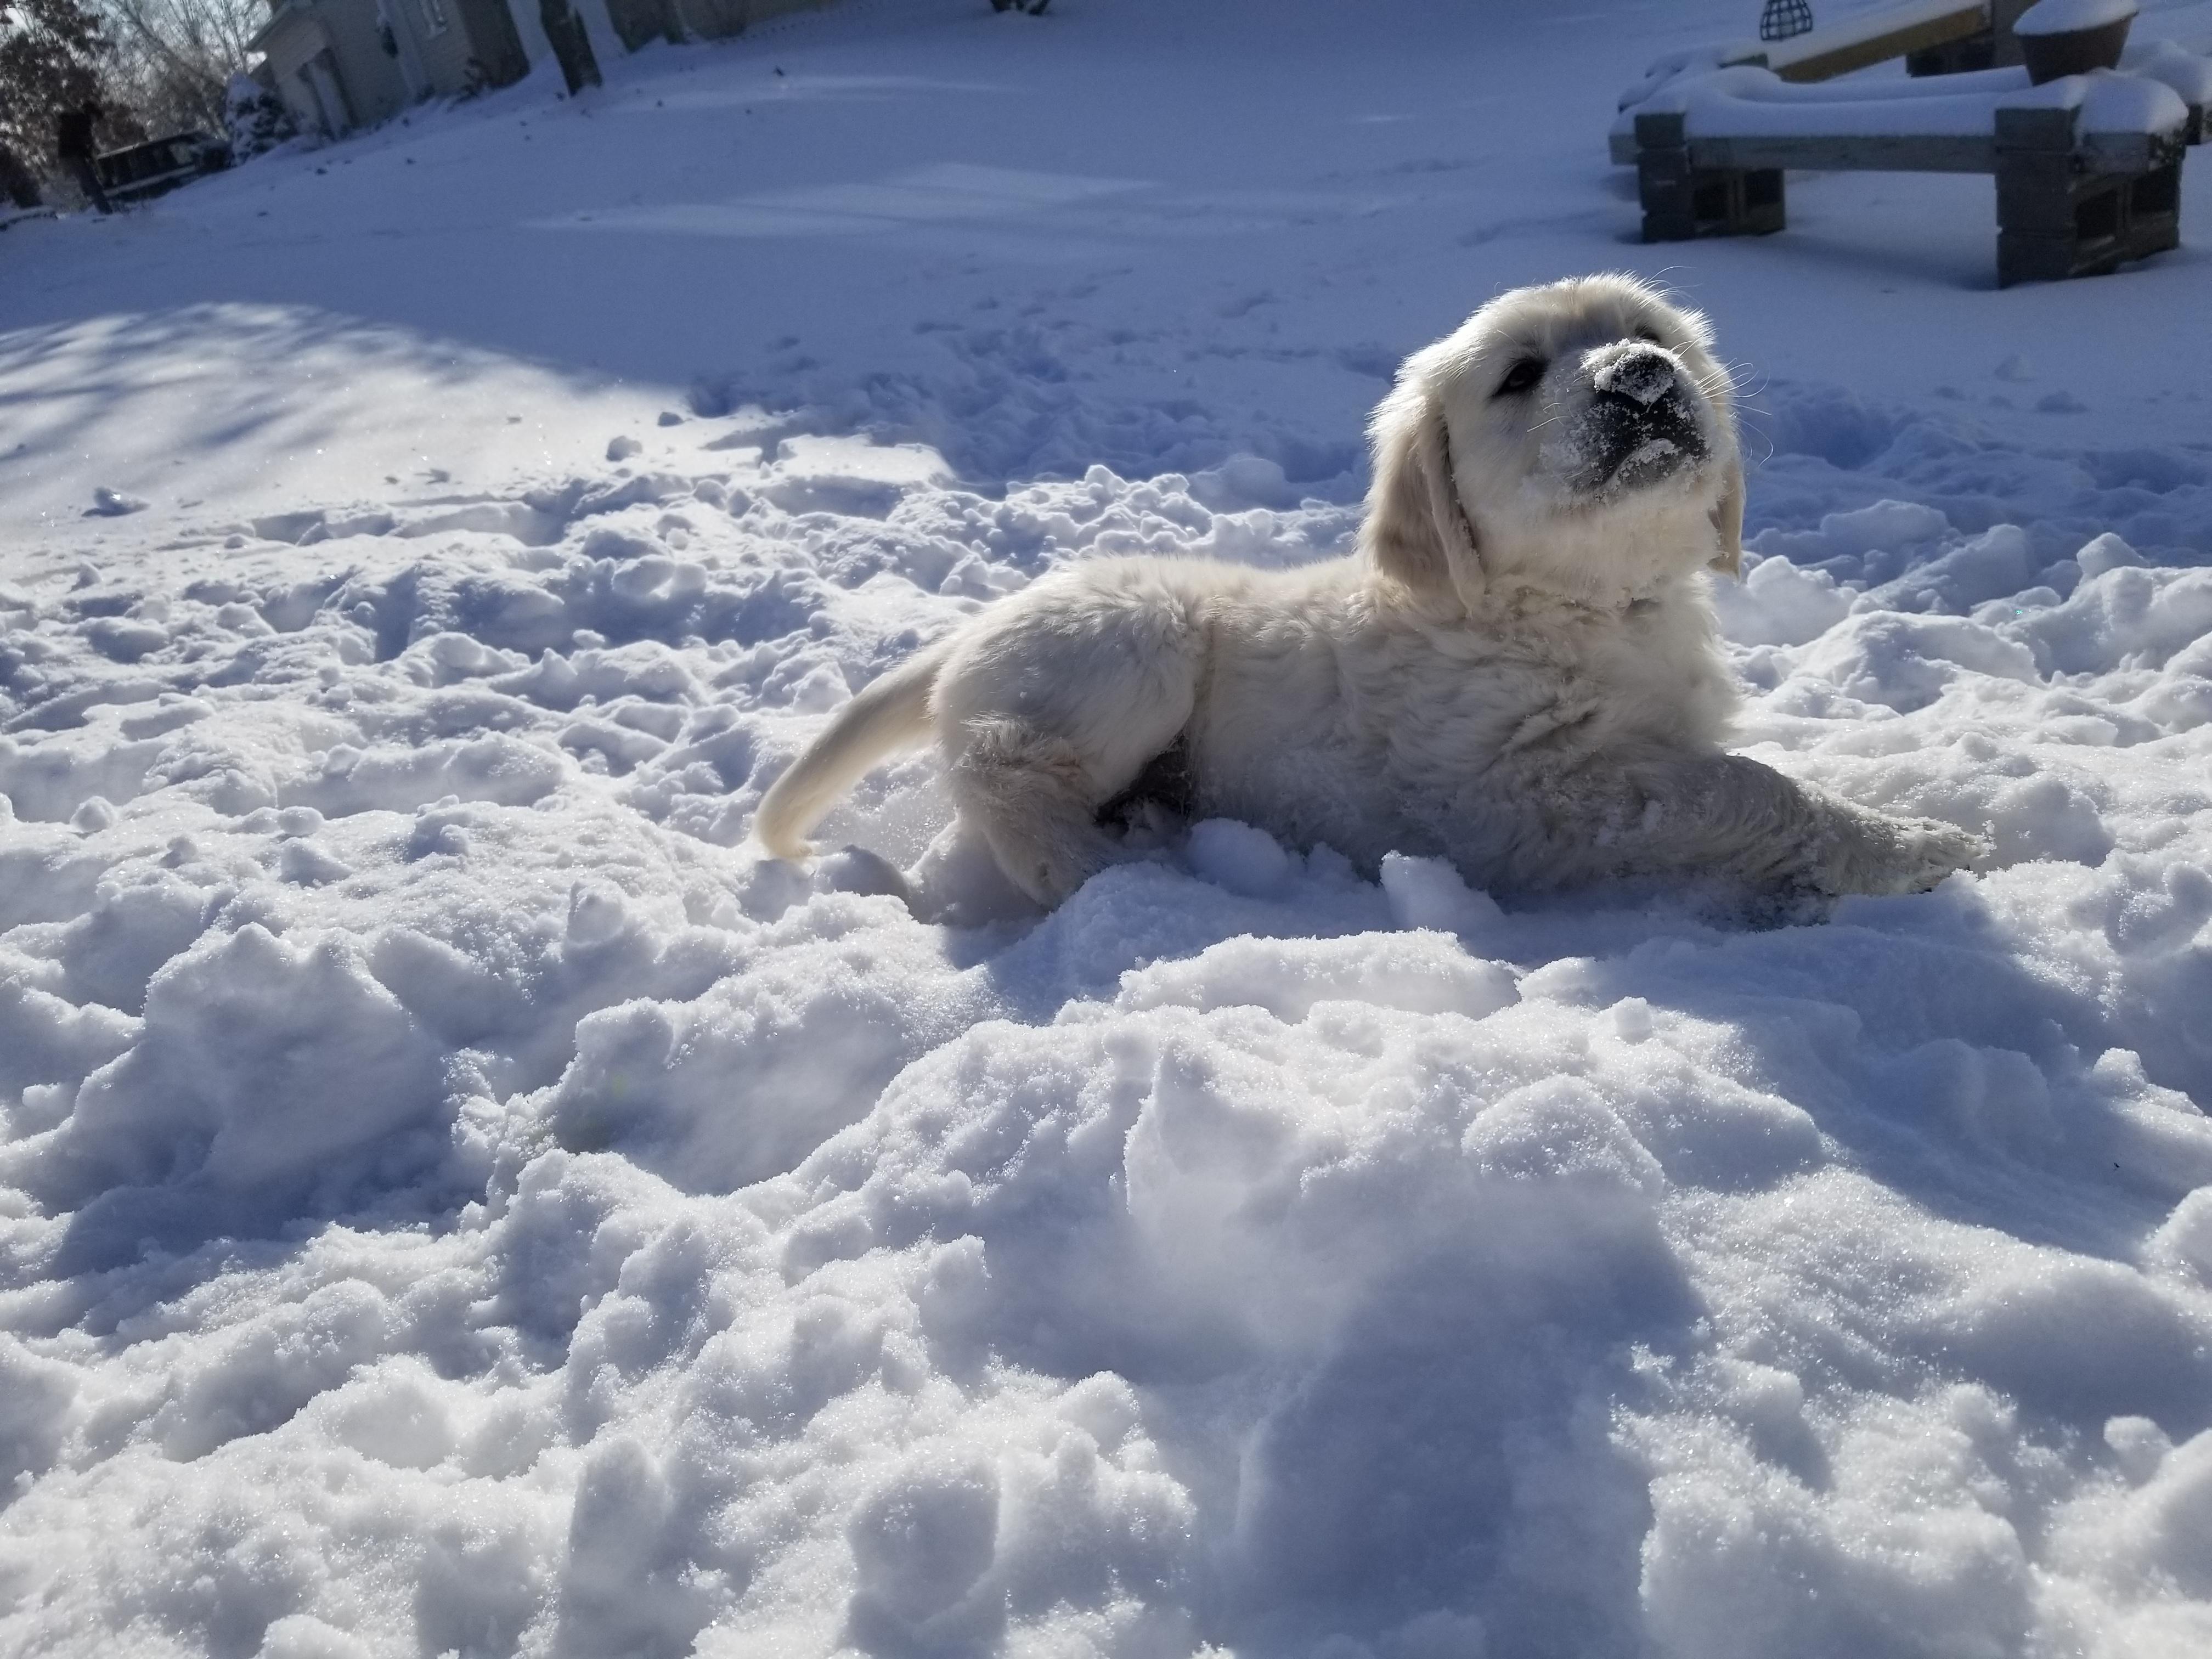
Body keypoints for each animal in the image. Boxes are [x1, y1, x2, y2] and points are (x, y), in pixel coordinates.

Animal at [755, 274, 1986, 910]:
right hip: (1134, 642)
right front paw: (1923, 846)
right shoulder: (1517, 794)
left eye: (1649, 334)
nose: (1642, 377)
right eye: (1520, 376)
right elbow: (1749, 788)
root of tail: (980, 624)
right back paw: (1105, 866)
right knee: (1003, 772)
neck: (1583, 604)